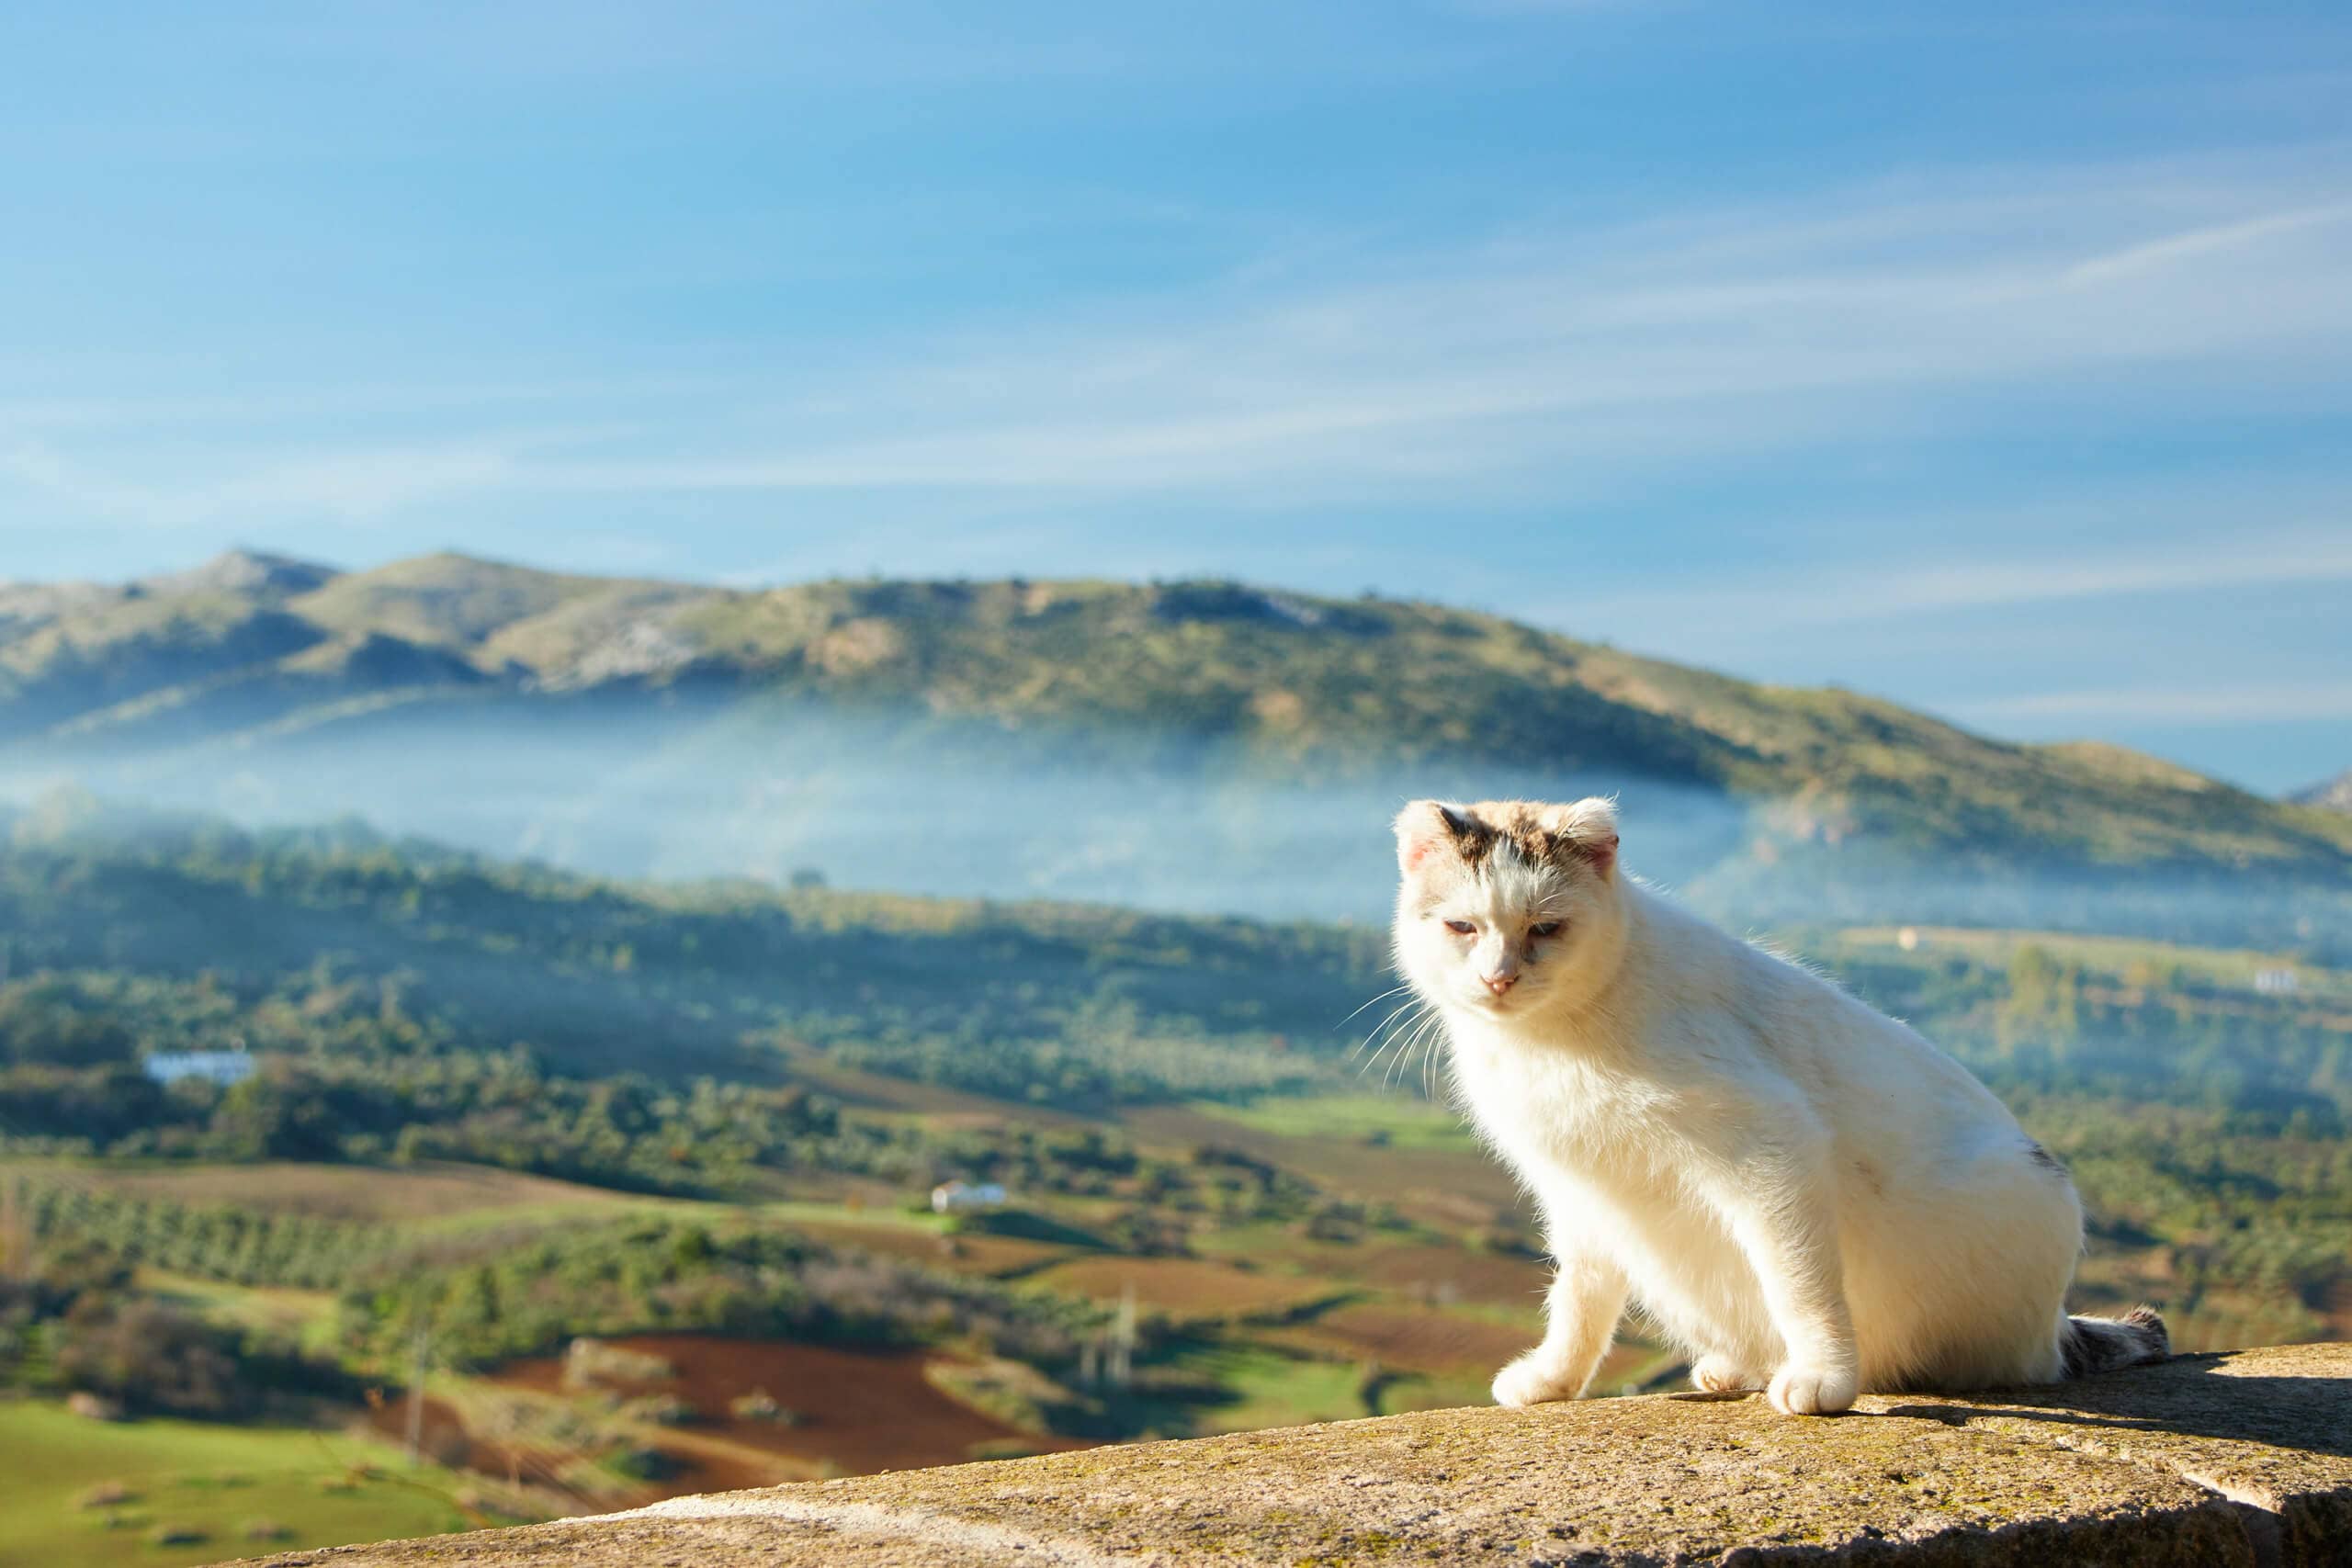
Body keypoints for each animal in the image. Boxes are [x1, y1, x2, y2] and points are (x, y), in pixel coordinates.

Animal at [1383, 804, 2154, 1419]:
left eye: (1545, 927)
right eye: (1461, 926)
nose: (1499, 977)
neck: (1548, 1040)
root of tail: (2057, 1326)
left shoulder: (1770, 1145)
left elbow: (1798, 1280)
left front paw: (1824, 1375)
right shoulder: (1582, 1188)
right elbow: (1580, 1297)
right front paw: (1554, 1379)